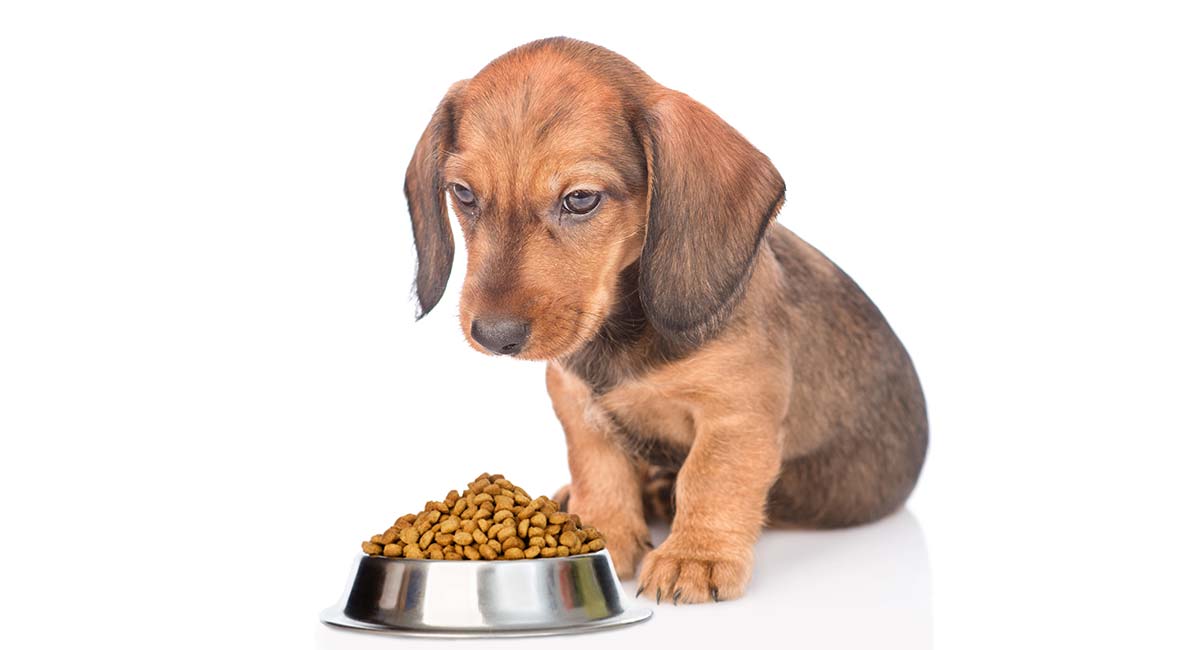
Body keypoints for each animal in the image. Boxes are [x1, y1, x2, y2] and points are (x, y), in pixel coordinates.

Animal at [403, 36, 926, 606]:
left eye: (580, 198)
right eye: (463, 193)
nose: (494, 336)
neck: (623, 330)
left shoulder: (736, 412)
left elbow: (710, 478)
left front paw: (696, 556)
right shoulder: (576, 401)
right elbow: (598, 467)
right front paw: (603, 532)